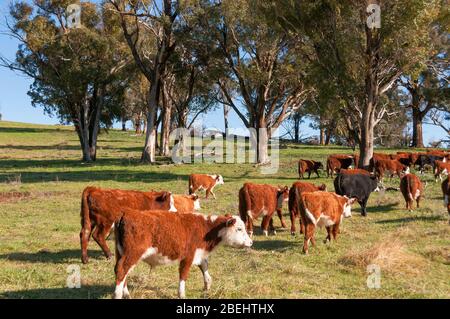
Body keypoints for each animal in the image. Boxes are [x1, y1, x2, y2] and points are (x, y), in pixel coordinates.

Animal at [112, 210, 253, 300]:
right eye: (239, 229)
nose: (251, 242)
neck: (205, 228)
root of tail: (127, 213)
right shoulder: (188, 256)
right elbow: (183, 275)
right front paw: (181, 294)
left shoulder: (199, 253)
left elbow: (204, 267)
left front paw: (207, 285)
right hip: (132, 254)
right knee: (122, 270)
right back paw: (118, 294)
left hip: (121, 253)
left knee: (123, 272)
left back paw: (126, 294)